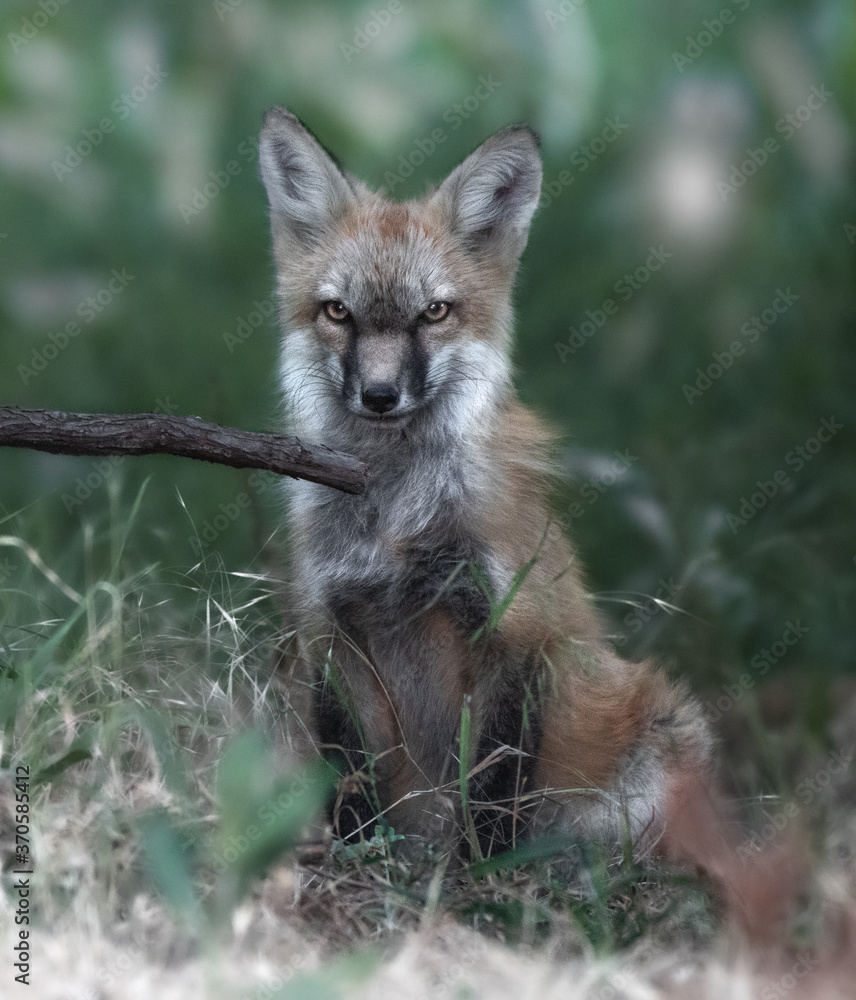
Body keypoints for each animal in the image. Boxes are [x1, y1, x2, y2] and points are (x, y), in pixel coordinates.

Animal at [258, 107, 714, 857]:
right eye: (338, 313)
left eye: (434, 313)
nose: (379, 396)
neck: (397, 515)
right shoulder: (331, 629)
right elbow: (350, 773)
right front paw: (360, 855)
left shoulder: (515, 631)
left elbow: (498, 778)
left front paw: (484, 869)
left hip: (668, 727)